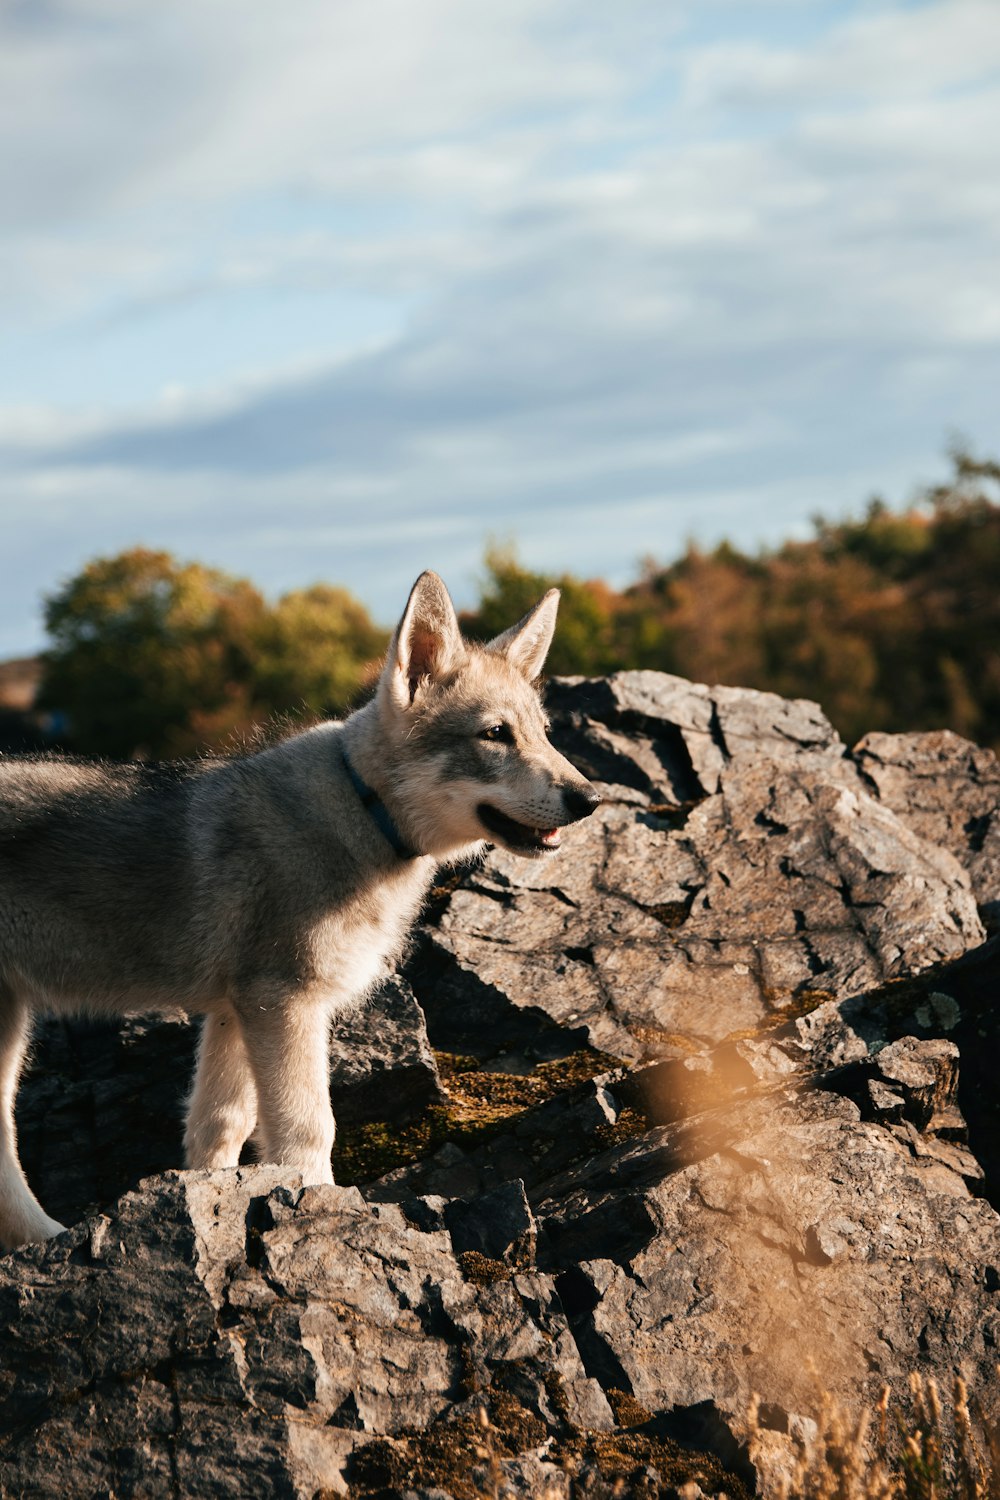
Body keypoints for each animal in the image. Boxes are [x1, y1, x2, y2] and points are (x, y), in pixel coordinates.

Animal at [0, 573, 599, 1254]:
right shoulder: (284, 1002)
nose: (591, 799)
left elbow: (220, 1127)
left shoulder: (234, 1010)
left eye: (545, 732)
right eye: (495, 735)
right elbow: (308, 1132)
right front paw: (324, 1214)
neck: (364, 810)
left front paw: (212, 1206)